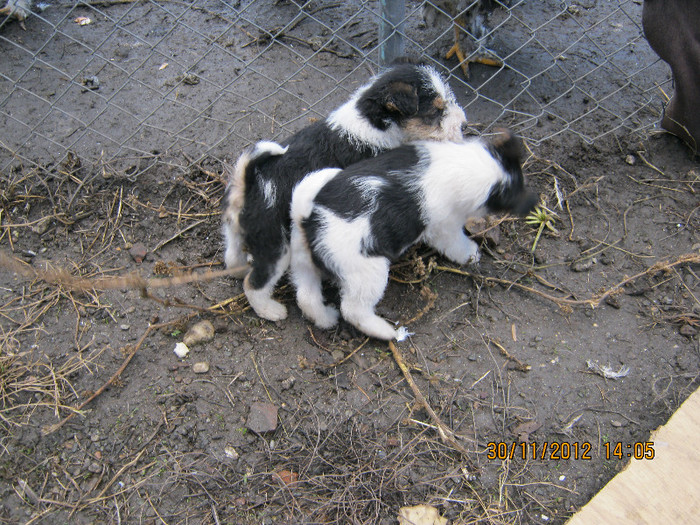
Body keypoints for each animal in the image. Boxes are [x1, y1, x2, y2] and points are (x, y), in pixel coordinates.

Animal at [221, 62, 468, 324]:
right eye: (436, 111)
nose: (464, 124)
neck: (374, 121)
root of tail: (249, 182)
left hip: (236, 230)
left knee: (232, 255)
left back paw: (239, 269)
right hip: (275, 247)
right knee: (254, 285)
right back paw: (271, 310)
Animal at [288, 129, 536, 338]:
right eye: (512, 197)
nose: (533, 204)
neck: (463, 164)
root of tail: (310, 218)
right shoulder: (444, 229)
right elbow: (458, 245)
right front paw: (472, 254)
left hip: (303, 263)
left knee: (306, 297)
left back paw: (327, 319)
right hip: (368, 274)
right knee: (353, 310)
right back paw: (387, 331)